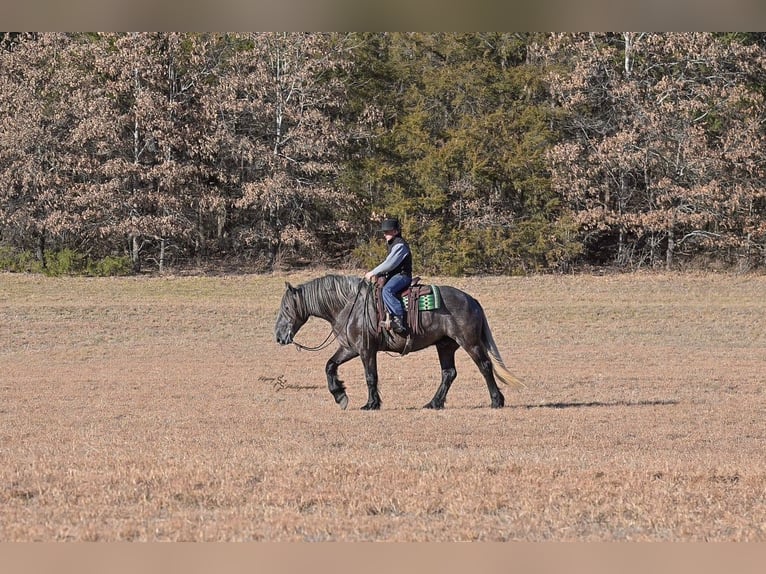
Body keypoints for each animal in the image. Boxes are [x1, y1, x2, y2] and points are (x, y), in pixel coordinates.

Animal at [274, 274, 524, 410]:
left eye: (286, 307)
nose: (278, 335)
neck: (349, 305)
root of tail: (472, 300)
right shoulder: (349, 348)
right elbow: (329, 366)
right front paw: (340, 395)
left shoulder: (366, 350)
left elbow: (370, 376)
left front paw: (371, 404)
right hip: (445, 346)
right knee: (449, 373)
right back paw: (433, 403)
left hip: (469, 342)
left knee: (485, 366)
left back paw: (496, 400)